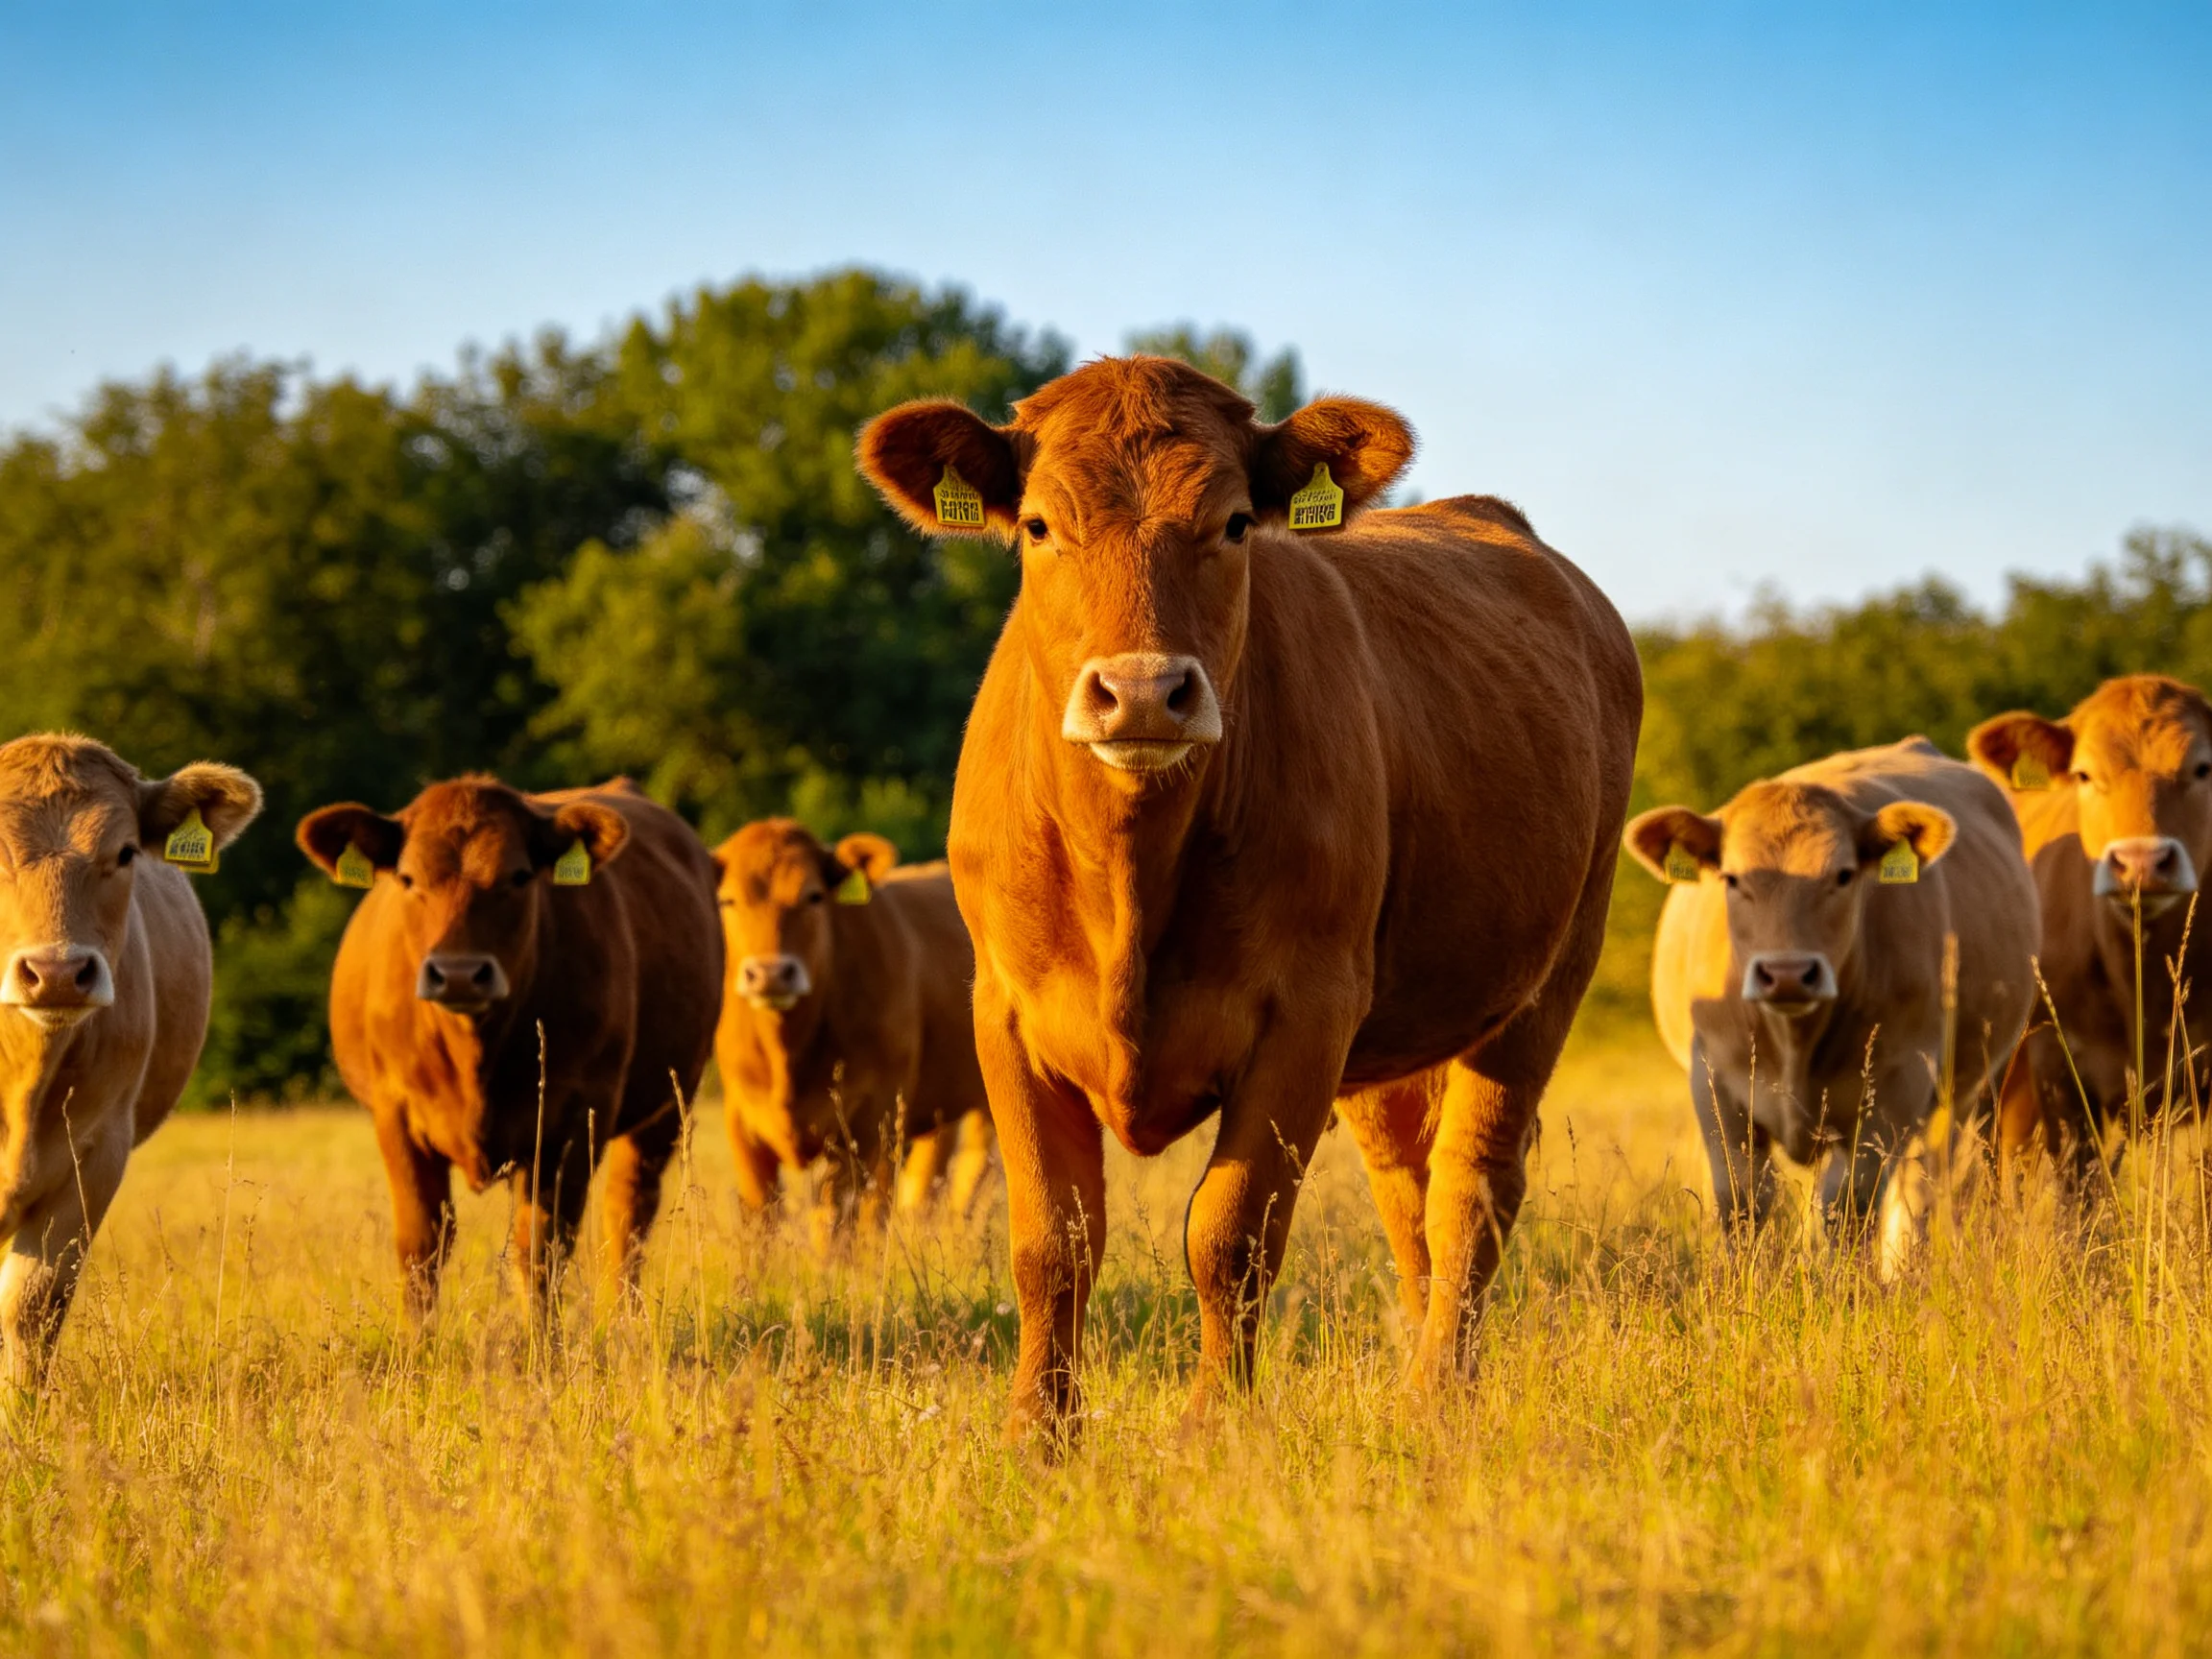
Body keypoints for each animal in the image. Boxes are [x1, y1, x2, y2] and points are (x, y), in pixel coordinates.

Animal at [297, 776, 721, 1322]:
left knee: (628, 1214)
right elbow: (421, 1247)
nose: (458, 973)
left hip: (669, 1101)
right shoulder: (395, 1114)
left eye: (519, 877)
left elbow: (540, 1249)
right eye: (408, 878)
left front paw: (542, 1343)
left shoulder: (572, 1116)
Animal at [712, 818, 994, 1240]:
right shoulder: (743, 1123)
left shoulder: (864, 1118)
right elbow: (761, 1221)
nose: (770, 974)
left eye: (814, 896)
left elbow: (837, 1222)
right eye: (728, 900)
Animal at [855, 355, 1642, 1437]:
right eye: (1039, 526)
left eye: (1233, 524)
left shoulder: (1303, 1014)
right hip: (1391, 1027)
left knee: (1470, 1185)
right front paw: (1038, 1436)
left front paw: (1212, 1428)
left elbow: (1230, 1236)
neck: (1130, 880)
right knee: (1405, 1182)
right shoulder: (1003, 1011)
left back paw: (1439, 1394)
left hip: (1551, 969)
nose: (1143, 692)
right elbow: (1052, 1242)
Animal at [1627, 739, 2038, 1273]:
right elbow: (1744, 1200)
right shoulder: (1713, 1081)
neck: (1795, 1040)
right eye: (1733, 878)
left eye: (1843, 875)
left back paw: (1905, 1269)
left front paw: (1849, 1285)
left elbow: (1849, 1207)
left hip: (1972, 1086)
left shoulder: (1892, 1088)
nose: (1786, 973)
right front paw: (1748, 1280)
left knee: (1924, 1184)